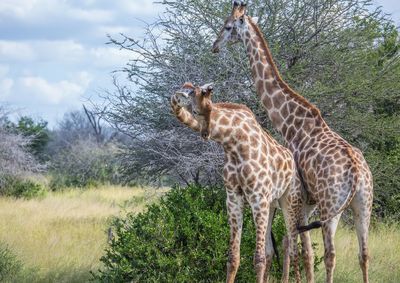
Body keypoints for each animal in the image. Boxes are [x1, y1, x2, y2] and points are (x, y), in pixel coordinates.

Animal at [170, 82, 310, 283]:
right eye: (195, 111)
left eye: (211, 108)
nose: (205, 133)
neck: (234, 144)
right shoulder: (233, 198)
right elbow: (233, 257)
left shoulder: (258, 198)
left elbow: (258, 258)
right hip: (272, 205)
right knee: (273, 249)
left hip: (290, 201)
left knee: (293, 247)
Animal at [214, 1, 374, 282]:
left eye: (228, 26)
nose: (215, 46)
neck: (292, 124)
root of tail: (357, 172)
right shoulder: (304, 205)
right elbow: (303, 253)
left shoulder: (295, 199)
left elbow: (290, 247)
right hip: (363, 204)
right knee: (363, 254)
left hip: (331, 206)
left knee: (331, 254)